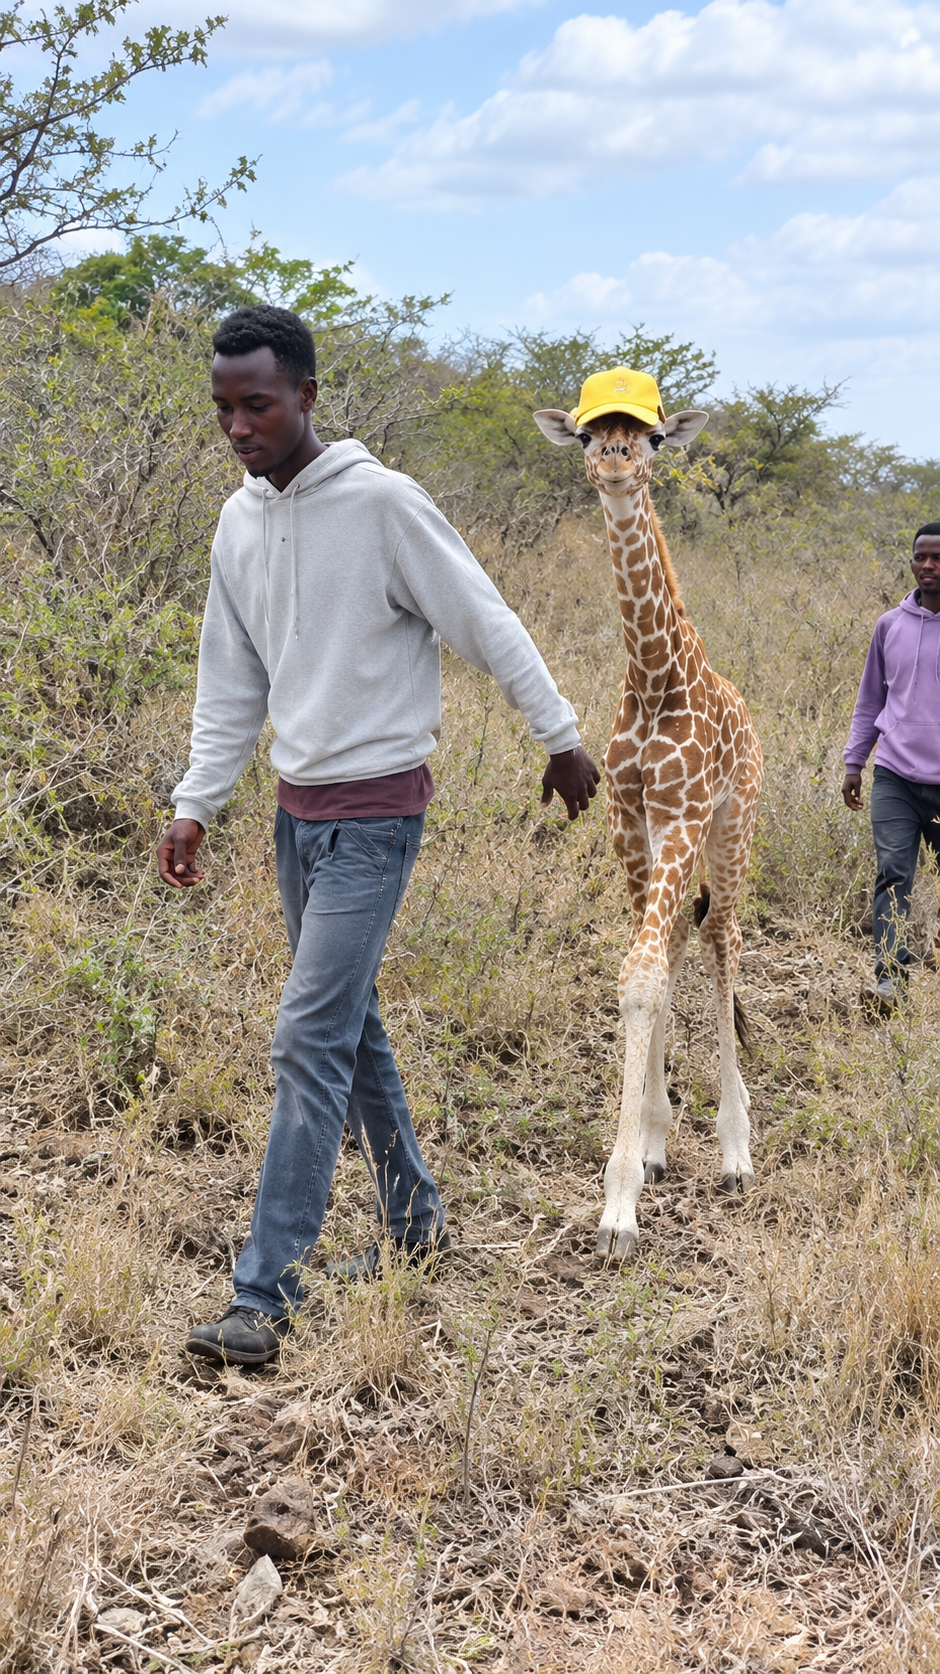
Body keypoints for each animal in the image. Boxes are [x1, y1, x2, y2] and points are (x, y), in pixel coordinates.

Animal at [535, 367, 763, 1260]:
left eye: (655, 436)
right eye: (590, 433)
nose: (615, 460)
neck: (656, 677)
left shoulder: (687, 814)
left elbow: (647, 972)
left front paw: (618, 1207)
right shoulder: (631, 824)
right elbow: (646, 975)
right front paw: (649, 1153)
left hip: (732, 832)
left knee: (723, 938)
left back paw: (735, 1152)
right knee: (680, 943)